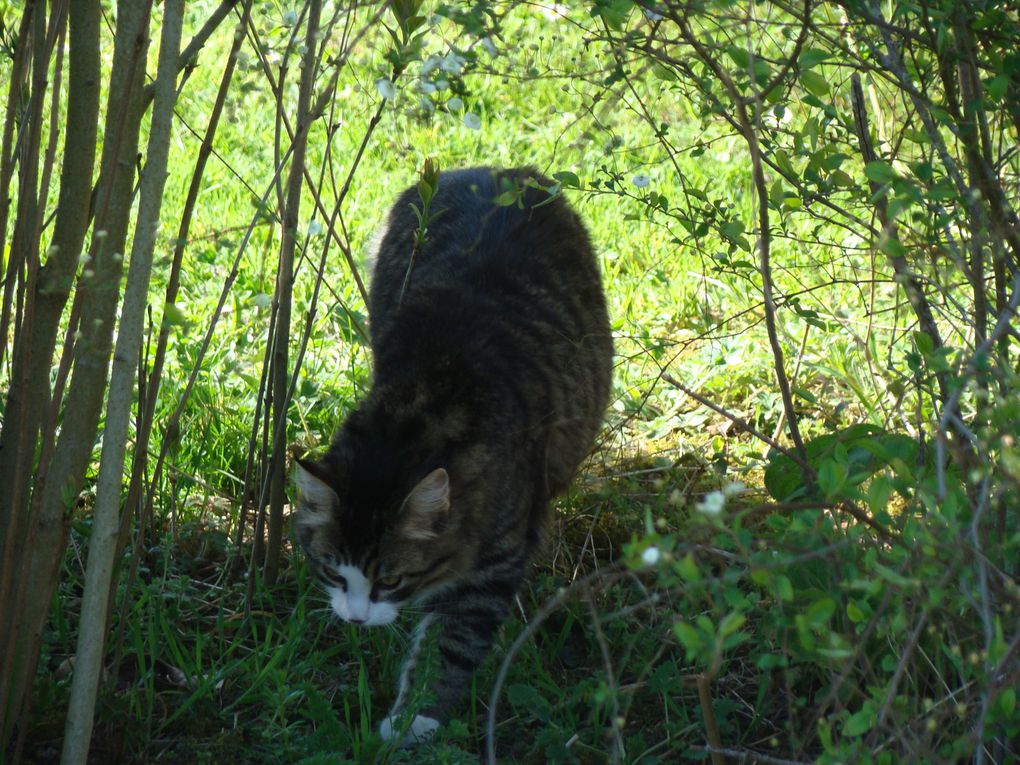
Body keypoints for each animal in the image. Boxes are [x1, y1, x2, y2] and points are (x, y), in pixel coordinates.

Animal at [295, 167, 612, 750]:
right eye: (331, 571)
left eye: (390, 581)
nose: (356, 621)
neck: (426, 397)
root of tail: (496, 169)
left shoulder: (494, 562)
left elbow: (451, 643)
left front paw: (414, 719)